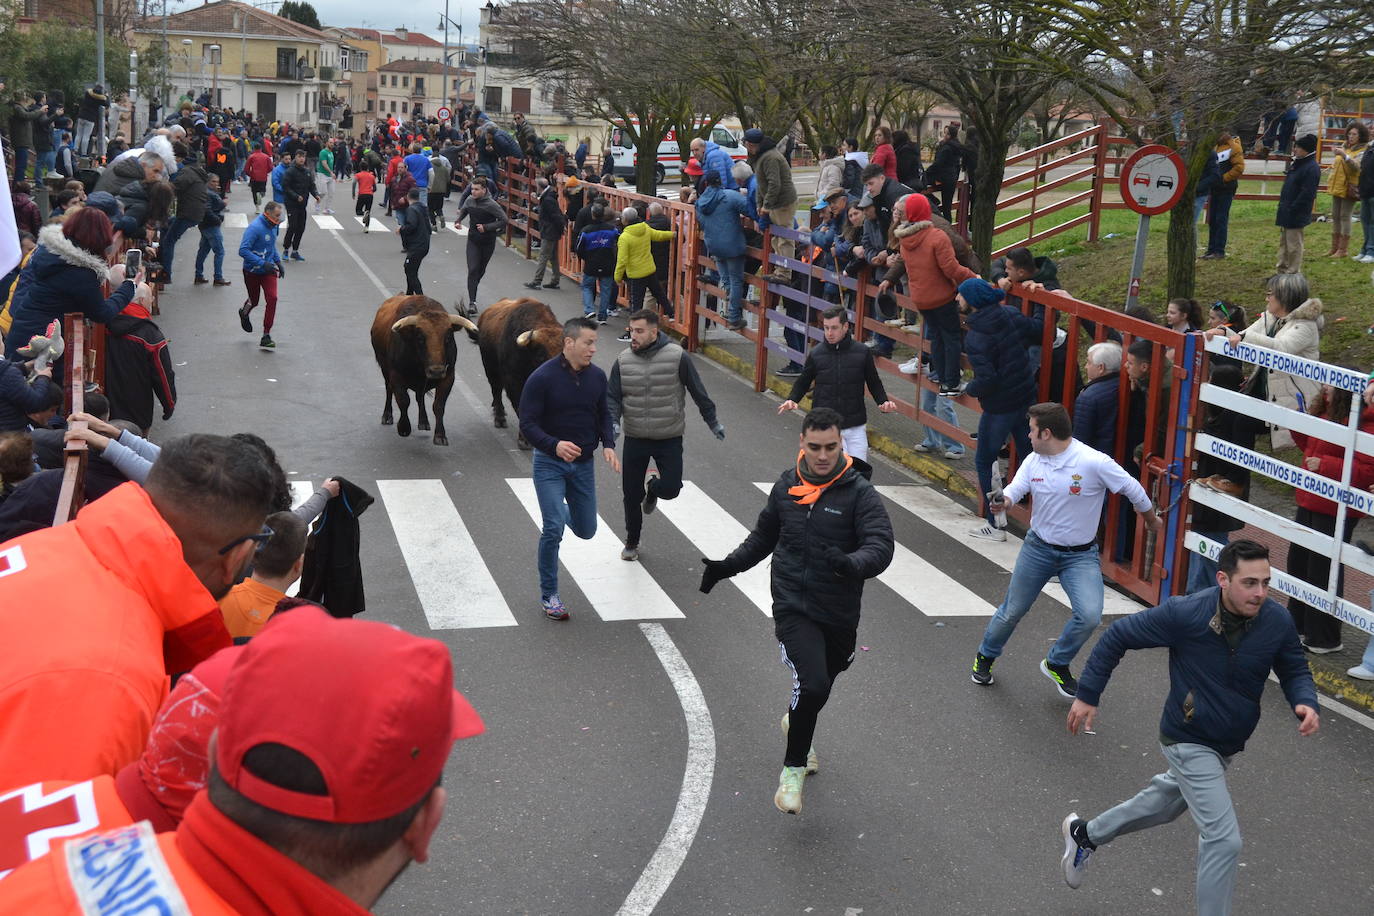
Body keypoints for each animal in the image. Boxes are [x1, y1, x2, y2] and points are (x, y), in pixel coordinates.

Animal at [370, 295, 478, 444]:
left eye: (448, 337)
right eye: (420, 338)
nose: (436, 371)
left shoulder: (448, 377)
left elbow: (438, 405)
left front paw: (440, 435)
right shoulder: (396, 376)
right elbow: (403, 400)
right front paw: (404, 428)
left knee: (419, 397)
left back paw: (423, 421)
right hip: (385, 369)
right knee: (389, 389)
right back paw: (387, 416)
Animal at [467, 295, 563, 450]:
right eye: (541, 355)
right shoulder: (514, 383)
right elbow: (521, 408)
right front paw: (524, 440)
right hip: (491, 369)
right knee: (496, 390)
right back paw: (499, 418)